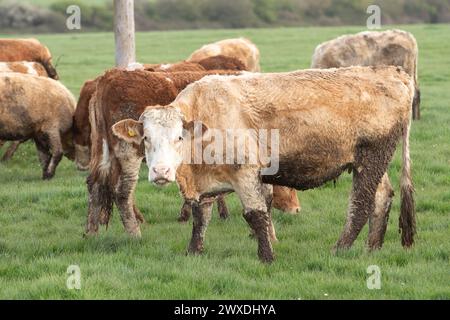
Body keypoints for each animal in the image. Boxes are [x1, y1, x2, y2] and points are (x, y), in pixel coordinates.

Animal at [114, 66, 416, 264]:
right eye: (146, 138)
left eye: (178, 137)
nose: (160, 172)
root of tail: (392, 72)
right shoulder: (207, 180)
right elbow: (201, 216)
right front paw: (193, 251)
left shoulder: (246, 172)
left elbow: (256, 214)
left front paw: (267, 256)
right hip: (369, 161)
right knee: (382, 197)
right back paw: (371, 248)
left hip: (372, 156)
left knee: (361, 203)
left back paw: (340, 249)